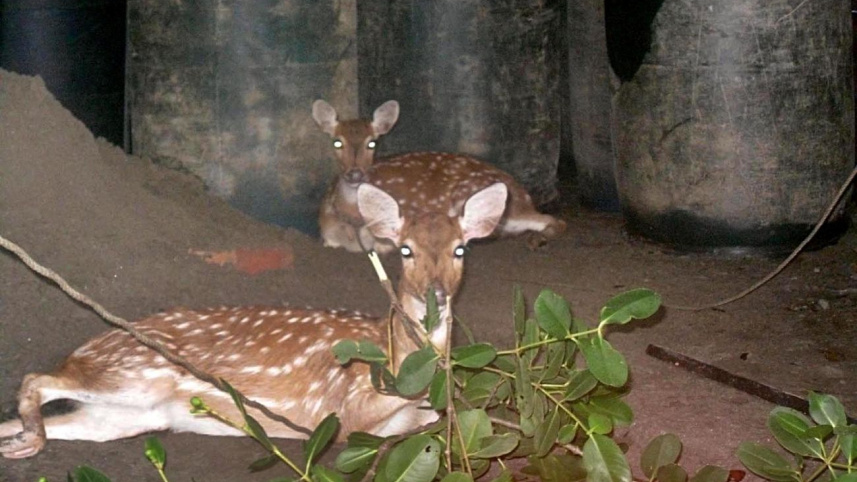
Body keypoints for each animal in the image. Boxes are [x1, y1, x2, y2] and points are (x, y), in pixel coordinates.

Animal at [0, 181, 509, 459]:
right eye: (405, 250)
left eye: (460, 249)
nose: (435, 295)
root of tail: (84, 349)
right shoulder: (344, 407)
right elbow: (356, 418)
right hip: (135, 375)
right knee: (35, 380)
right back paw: (29, 442)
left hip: (126, 417)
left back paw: (16, 443)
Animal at [312, 99, 567, 254]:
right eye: (337, 142)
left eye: (372, 143)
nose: (355, 173)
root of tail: (524, 195)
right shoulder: (329, 237)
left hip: (469, 194)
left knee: (553, 221)